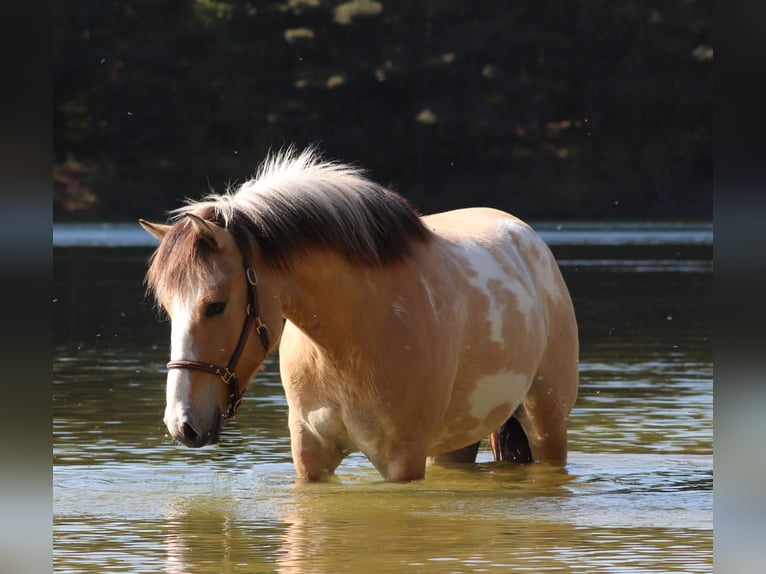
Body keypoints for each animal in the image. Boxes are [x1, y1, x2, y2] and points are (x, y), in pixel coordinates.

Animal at [139, 147, 579, 482]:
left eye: (215, 305)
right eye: (168, 308)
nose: (182, 424)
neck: (346, 337)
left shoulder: (403, 460)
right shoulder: (310, 455)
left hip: (546, 424)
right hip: (455, 442)